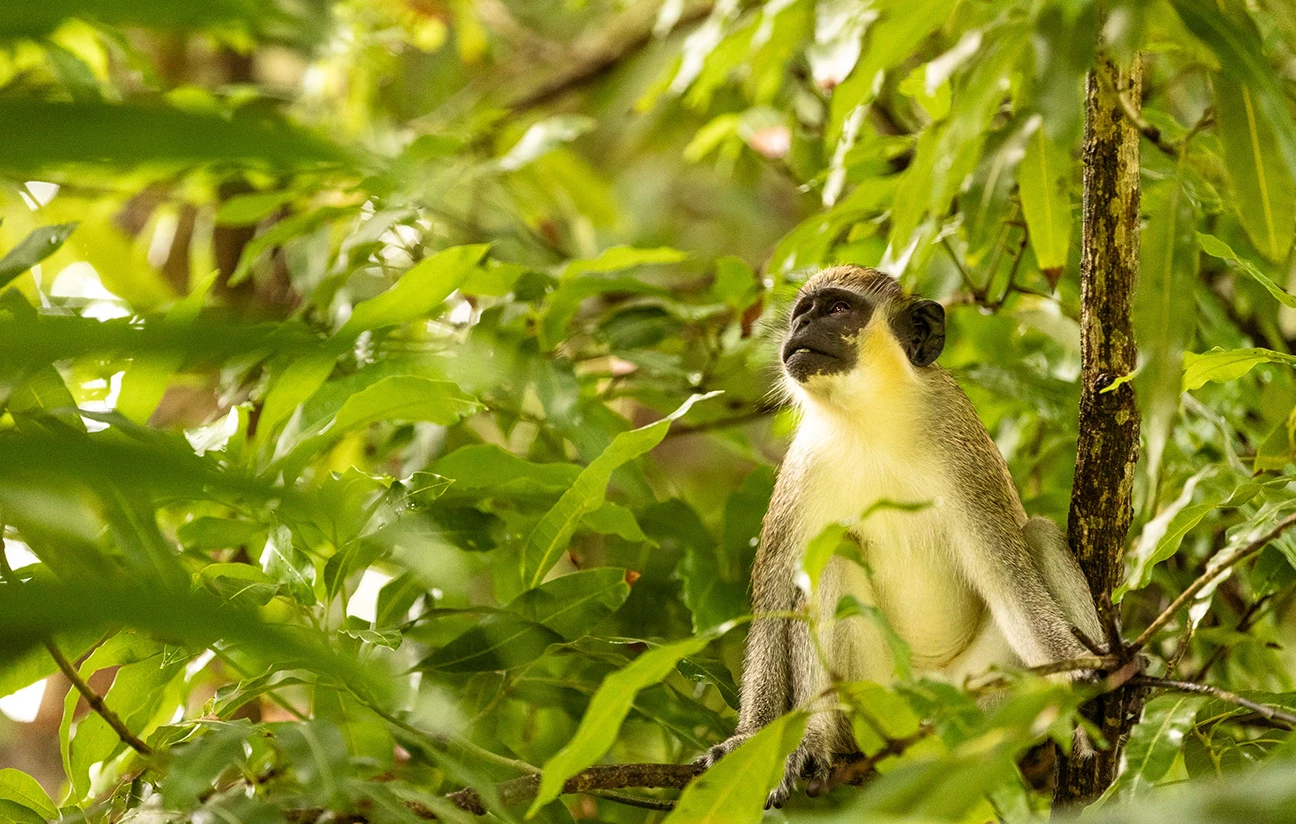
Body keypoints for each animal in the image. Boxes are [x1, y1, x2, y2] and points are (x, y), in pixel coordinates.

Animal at [697, 265, 1103, 807]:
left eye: (838, 309)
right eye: (804, 311)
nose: (800, 327)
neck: (870, 418)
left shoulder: (961, 448)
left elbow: (1008, 580)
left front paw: (1083, 673)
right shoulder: (800, 473)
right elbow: (774, 604)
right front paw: (747, 739)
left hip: (984, 697)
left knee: (1036, 535)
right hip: (880, 702)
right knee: (832, 557)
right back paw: (817, 742)